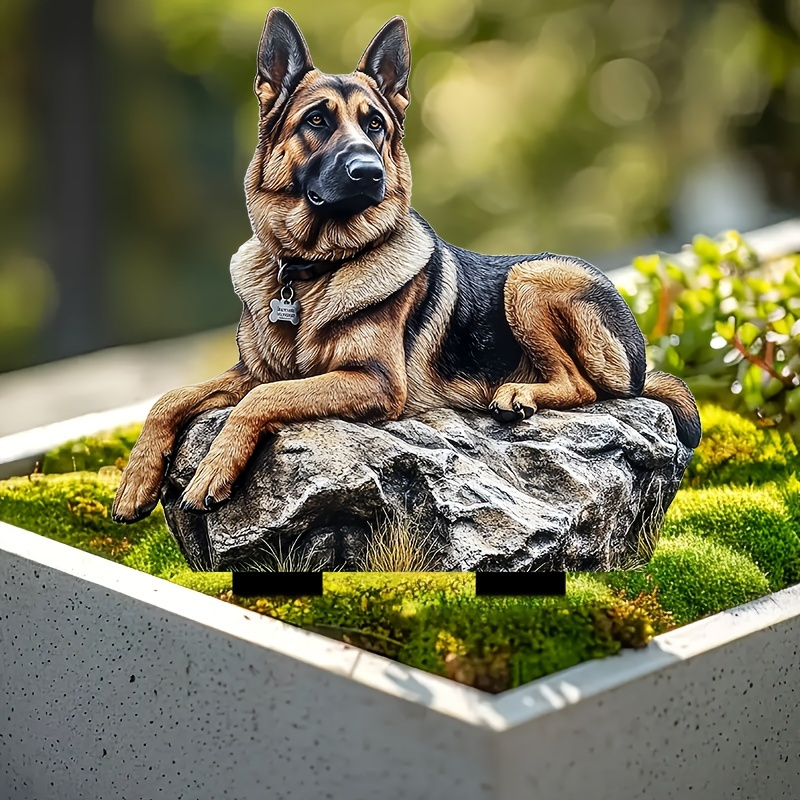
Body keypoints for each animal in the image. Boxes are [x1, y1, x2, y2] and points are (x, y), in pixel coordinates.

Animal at [112, 9, 700, 520]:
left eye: (375, 125)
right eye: (316, 120)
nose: (369, 172)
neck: (311, 269)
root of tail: (640, 358)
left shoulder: (373, 381)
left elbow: (262, 398)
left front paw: (213, 469)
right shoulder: (249, 371)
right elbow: (171, 398)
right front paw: (137, 481)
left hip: (530, 277)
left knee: (585, 387)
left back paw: (519, 395)